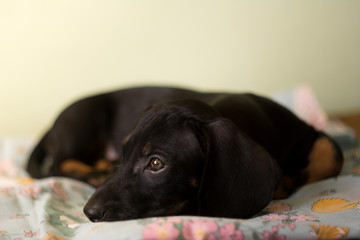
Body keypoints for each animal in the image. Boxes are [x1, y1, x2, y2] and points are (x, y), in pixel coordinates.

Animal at [26, 86, 344, 221]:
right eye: (124, 154)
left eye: (156, 163)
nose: (89, 213)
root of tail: (53, 126)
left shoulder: (312, 134)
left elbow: (331, 155)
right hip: (83, 119)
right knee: (58, 164)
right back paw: (95, 170)